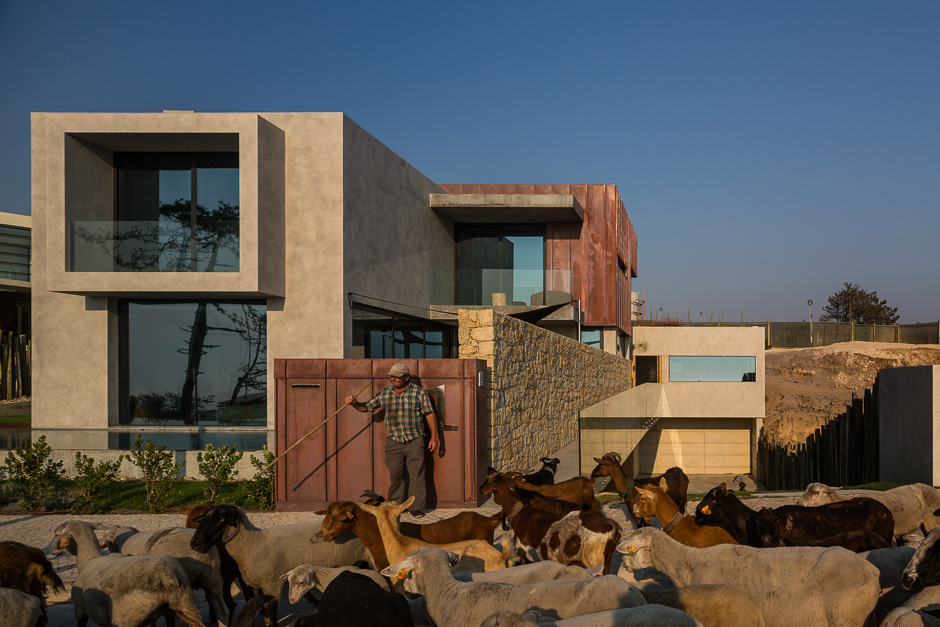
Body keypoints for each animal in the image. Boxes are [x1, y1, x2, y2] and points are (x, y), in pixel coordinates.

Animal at [50, 520, 206, 627]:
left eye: (57, 534)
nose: (51, 549)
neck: (89, 559)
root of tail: (167, 577)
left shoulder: (79, 610)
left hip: (125, 619)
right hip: (186, 608)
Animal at [189, 504, 370, 627]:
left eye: (221, 519)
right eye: (202, 518)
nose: (195, 544)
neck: (253, 544)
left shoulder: (273, 585)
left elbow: (269, 617)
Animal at [479, 470, 620, 574]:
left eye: (490, 481)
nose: (481, 491)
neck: (520, 512)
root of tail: (611, 528)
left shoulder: (528, 555)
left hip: (593, 561)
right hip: (606, 560)